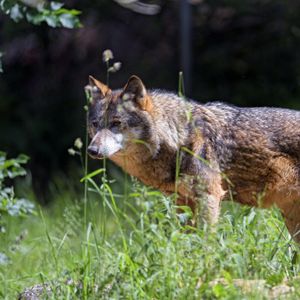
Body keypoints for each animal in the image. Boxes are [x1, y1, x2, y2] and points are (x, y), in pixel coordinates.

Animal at [84, 75, 300, 241]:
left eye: (116, 123)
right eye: (95, 124)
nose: (92, 150)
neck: (178, 137)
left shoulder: (209, 197)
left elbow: (205, 243)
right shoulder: (182, 202)